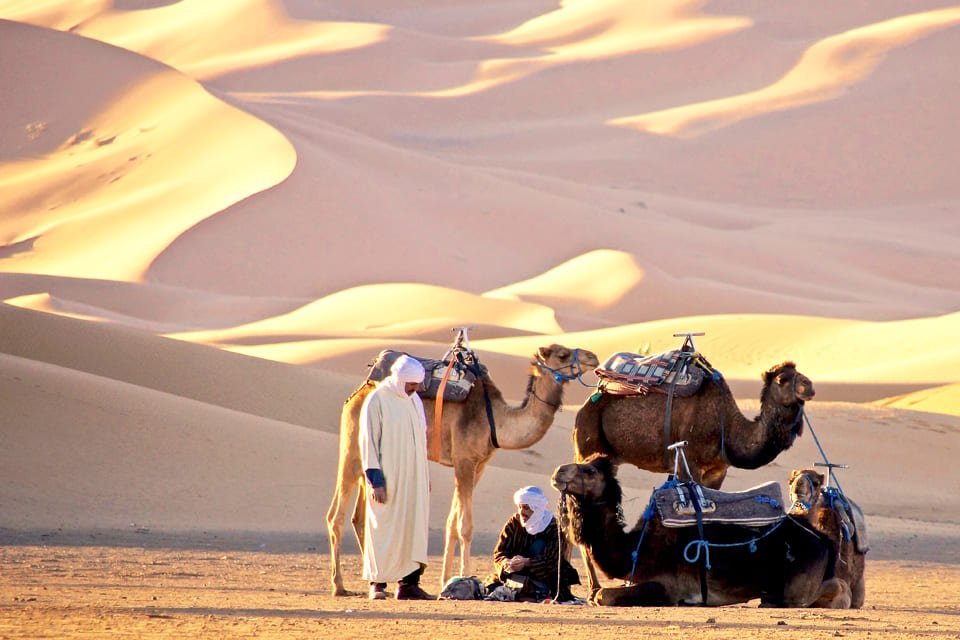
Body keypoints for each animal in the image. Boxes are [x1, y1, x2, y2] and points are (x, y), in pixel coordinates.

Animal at [326, 342, 596, 596]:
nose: (592, 357)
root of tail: (355, 395)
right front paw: (466, 576)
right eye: (562, 354)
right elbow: (465, 526)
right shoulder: (464, 461)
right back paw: (340, 585)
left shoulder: (479, 465)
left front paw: (447, 580)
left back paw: (376, 580)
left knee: (360, 517)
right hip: (354, 448)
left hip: (368, 464)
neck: (496, 419)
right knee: (336, 516)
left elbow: (451, 523)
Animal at [552, 452, 836, 608]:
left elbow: (601, 595)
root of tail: (824, 541)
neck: (634, 548)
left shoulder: (668, 588)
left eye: (589, 470)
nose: (558, 472)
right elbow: (596, 594)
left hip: (797, 586)